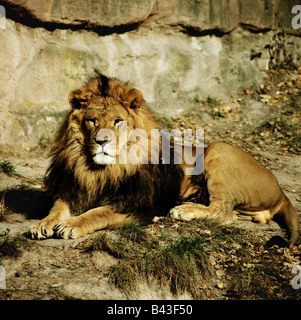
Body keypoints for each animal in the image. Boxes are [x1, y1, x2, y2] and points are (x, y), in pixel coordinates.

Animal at [28, 72, 298, 242]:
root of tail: (280, 190)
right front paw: (43, 223)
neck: (99, 169)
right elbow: (57, 207)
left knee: (223, 213)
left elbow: (98, 213)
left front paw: (72, 225)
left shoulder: (137, 205)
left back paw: (184, 210)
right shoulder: (73, 188)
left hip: (218, 148)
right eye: (91, 120)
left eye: (117, 121)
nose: (101, 141)